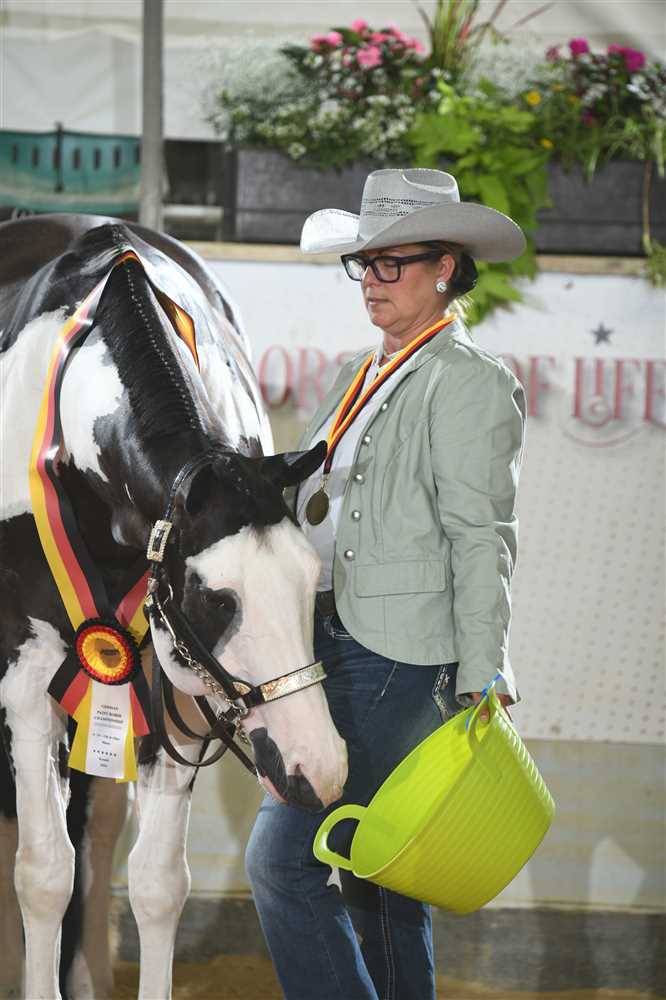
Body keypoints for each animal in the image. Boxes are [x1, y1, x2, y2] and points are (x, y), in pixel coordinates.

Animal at [0, 215, 348, 999]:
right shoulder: (27, 681)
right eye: (215, 597)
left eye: (311, 581)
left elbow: (158, 884)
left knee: (100, 829)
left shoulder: (178, 693)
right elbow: (43, 875)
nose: (321, 766)